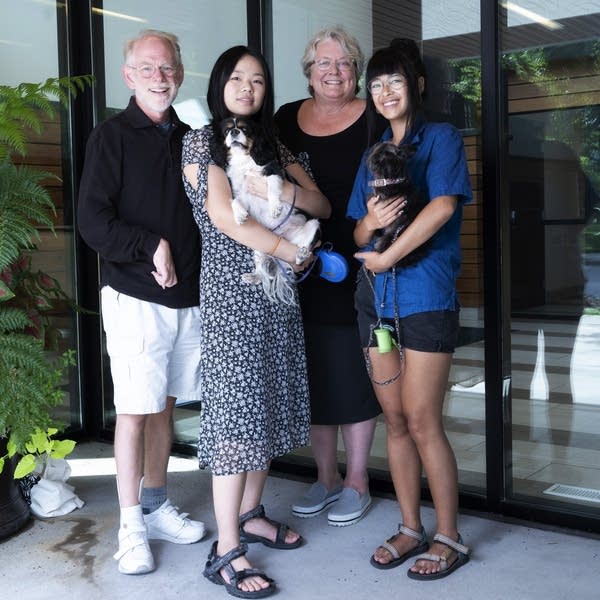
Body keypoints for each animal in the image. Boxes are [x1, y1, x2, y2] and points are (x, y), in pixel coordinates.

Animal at [212, 117, 322, 304]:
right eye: (227, 131)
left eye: (245, 129)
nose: (234, 131)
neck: (244, 159)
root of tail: (284, 238)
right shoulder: (242, 193)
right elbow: (234, 201)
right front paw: (240, 215)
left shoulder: (273, 172)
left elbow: (271, 188)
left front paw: (275, 208)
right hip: (261, 246)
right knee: (264, 271)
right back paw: (254, 276)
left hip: (313, 226)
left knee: (304, 252)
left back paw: (301, 254)